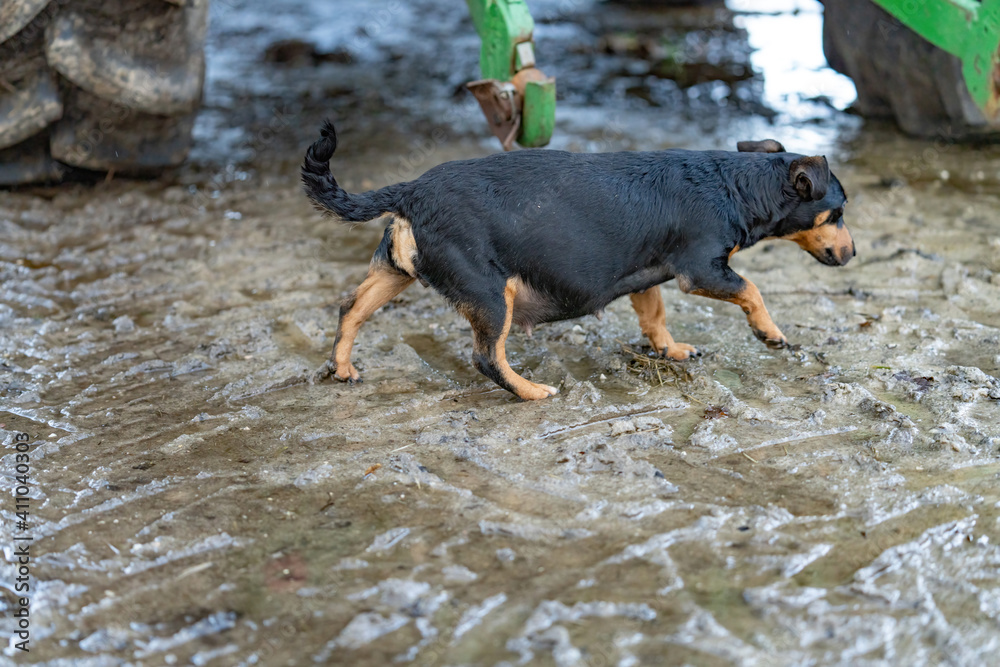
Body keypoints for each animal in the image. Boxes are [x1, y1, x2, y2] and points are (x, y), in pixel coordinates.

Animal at [302, 122, 852, 400]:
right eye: (838, 212)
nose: (852, 252)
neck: (735, 184)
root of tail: (410, 191)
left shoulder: (646, 277)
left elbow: (655, 318)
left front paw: (670, 350)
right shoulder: (701, 270)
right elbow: (752, 290)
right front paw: (771, 334)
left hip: (393, 273)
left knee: (350, 310)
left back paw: (343, 368)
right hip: (491, 294)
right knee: (486, 357)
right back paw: (529, 391)